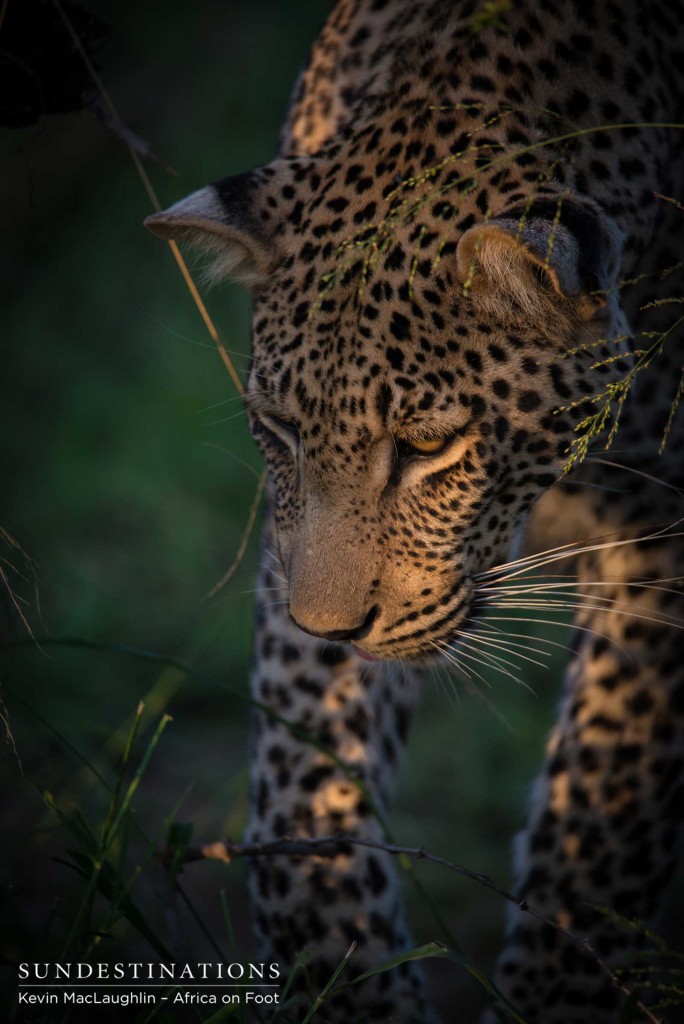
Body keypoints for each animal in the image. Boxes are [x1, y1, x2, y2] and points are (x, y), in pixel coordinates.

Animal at [147, 4, 684, 1019]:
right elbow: (299, 787)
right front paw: (346, 974)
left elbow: (600, 825)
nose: (333, 626)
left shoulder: (665, 534)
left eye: (427, 447)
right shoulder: (294, 549)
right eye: (281, 428)